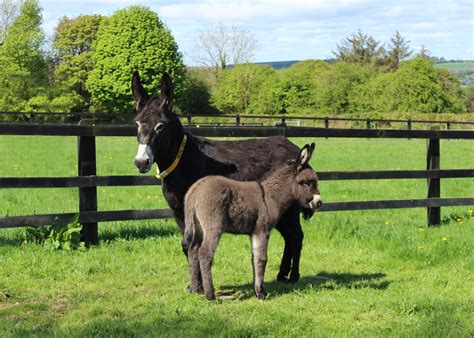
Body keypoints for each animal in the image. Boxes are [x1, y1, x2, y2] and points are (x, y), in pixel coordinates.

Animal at [182, 144, 322, 300]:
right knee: (205, 253)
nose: (319, 203)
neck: (270, 197)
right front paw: (261, 293)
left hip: (198, 227)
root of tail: (195, 190)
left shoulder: (253, 232)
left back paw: (194, 290)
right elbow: (262, 259)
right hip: (213, 226)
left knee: (193, 251)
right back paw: (210, 295)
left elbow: (254, 259)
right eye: (305, 183)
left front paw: (257, 290)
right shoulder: (262, 230)